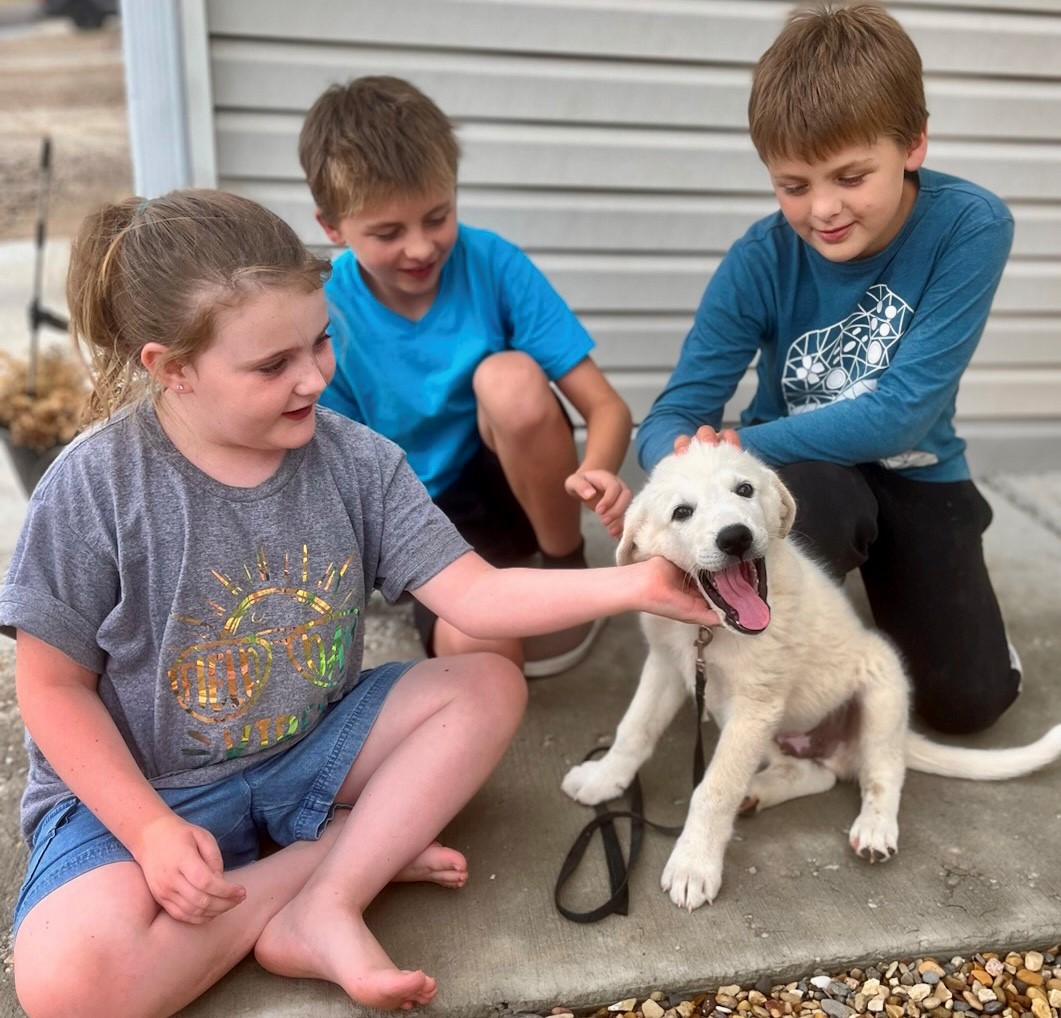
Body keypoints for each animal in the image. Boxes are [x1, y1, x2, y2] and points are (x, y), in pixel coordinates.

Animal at [564, 437, 1061, 908]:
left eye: (744, 490)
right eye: (681, 512)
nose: (735, 538)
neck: (710, 632)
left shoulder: (755, 703)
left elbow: (714, 788)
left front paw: (693, 865)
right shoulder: (671, 665)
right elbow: (634, 730)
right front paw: (603, 779)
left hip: (881, 685)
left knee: (884, 771)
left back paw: (875, 827)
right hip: (754, 720)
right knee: (814, 774)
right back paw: (758, 791)